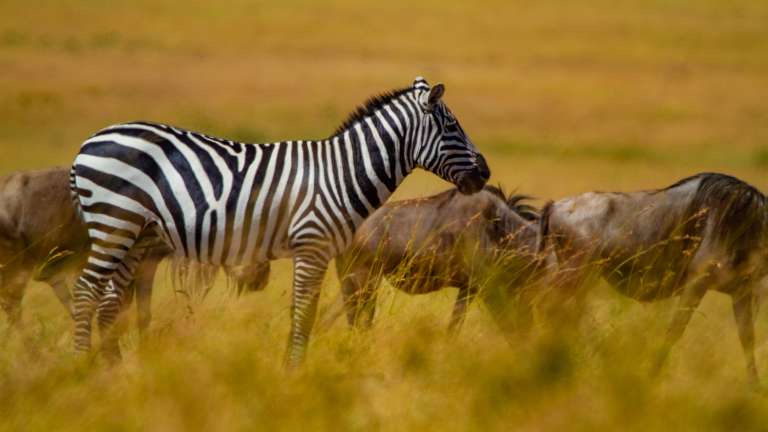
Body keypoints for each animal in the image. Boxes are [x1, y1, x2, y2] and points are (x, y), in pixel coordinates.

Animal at [69, 76, 491, 366]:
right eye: (452, 127)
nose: (486, 173)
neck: (340, 174)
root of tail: (89, 141)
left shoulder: (321, 253)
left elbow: (307, 312)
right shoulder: (312, 245)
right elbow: (303, 313)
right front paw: (293, 371)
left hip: (135, 234)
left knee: (108, 303)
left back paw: (113, 370)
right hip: (114, 223)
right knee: (86, 292)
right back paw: (82, 367)